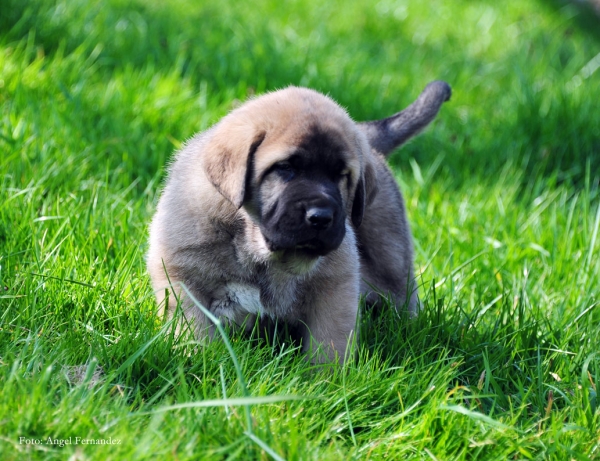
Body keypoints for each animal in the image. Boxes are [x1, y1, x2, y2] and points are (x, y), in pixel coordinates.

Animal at [148, 82, 452, 362]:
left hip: (392, 265)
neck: (253, 247)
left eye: (340, 175)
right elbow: (195, 331)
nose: (321, 217)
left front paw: (326, 381)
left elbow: (328, 346)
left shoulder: (334, 288)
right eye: (285, 168)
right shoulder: (183, 275)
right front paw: (198, 360)